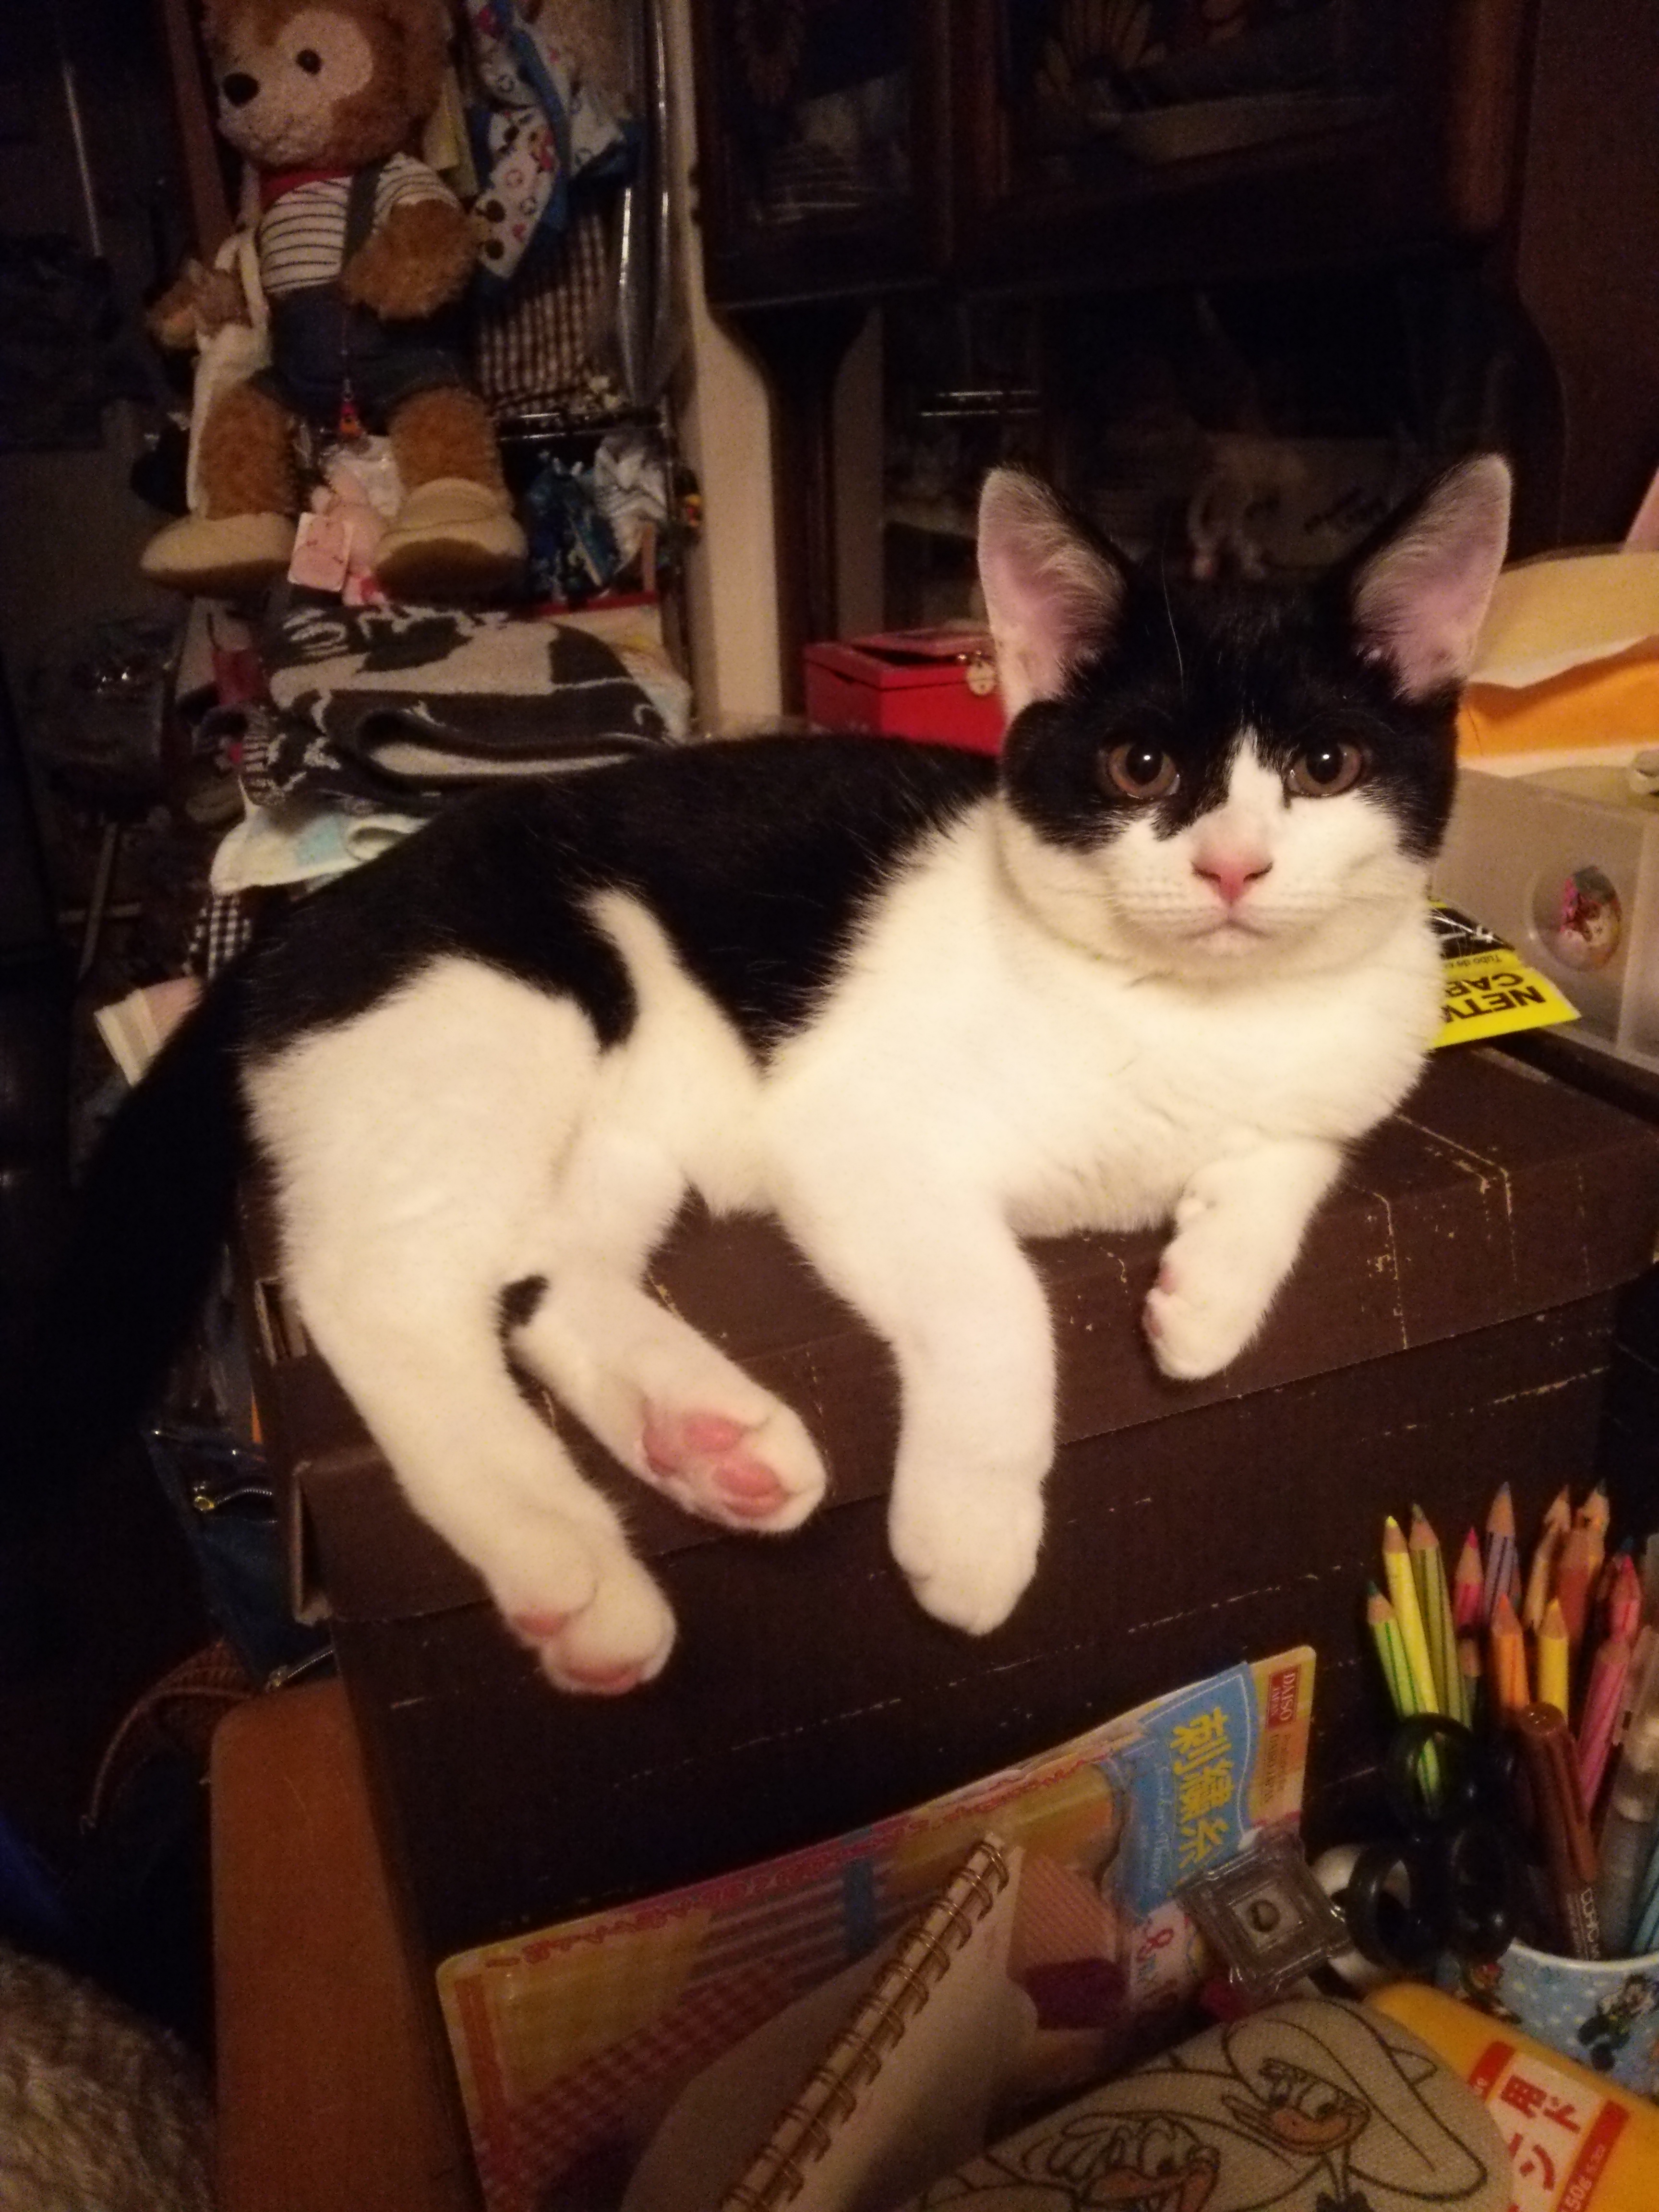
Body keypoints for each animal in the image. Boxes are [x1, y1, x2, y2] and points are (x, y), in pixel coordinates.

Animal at [42, 456, 1510, 1695]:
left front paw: (1206, 1294)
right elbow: (1000, 1304)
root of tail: (294, 926)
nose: (1232, 868)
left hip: (623, 1131)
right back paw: (571, 1567)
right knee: (385, 1293)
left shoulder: (1345, 1068)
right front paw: (970, 1533)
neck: (1196, 1017)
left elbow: (1298, 1152)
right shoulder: (852, 1135)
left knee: (543, 1287)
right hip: (499, 1020)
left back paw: (711, 1444)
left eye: (1326, 766)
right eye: (1140, 766)